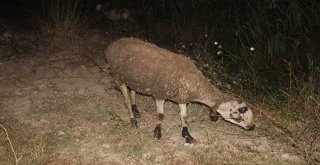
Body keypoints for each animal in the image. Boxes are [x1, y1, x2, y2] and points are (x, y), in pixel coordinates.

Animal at [105, 37, 255, 143]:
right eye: (238, 114)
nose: (252, 127)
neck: (195, 84)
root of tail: (114, 44)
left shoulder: (182, 97)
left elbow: (184, 116)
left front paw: (187, 135)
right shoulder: (160, 94)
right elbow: (161, 115)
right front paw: (157, 132)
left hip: (134, 78)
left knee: (133, 91)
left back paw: (136, 109)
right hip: (119, 76)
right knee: (126, 100)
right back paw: (133, 119)